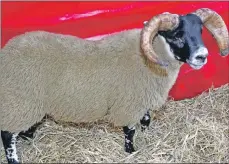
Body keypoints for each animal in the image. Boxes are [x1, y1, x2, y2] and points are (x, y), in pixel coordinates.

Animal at [0, 8, 228, 164]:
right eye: (177, 36)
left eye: (200, 31)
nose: (202, 56)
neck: (150, 58)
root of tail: (6, 52)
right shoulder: (129, 103)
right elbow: (130, 131)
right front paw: (131, 151)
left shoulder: (142, 98)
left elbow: (146, 119)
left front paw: (146, 134)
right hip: (20, 100)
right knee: (7, 134)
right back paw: (14, 159)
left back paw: (28, 135)